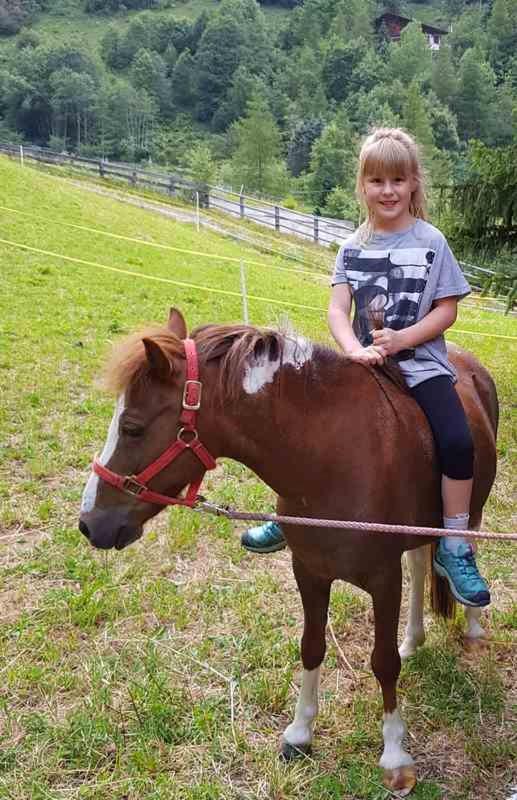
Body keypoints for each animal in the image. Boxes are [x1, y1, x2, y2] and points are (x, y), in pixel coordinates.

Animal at [79, 306, 496, 792]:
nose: (89, 523)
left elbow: (383, 662)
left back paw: (472, 618)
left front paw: (395, 754)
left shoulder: (382, 579)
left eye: (132, 427)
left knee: (461, 547)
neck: (334, 457)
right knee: (419, 563)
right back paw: (413, 638)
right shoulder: (309, 570)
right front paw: (300, 734)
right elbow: (311, 647)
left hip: (470, 511)